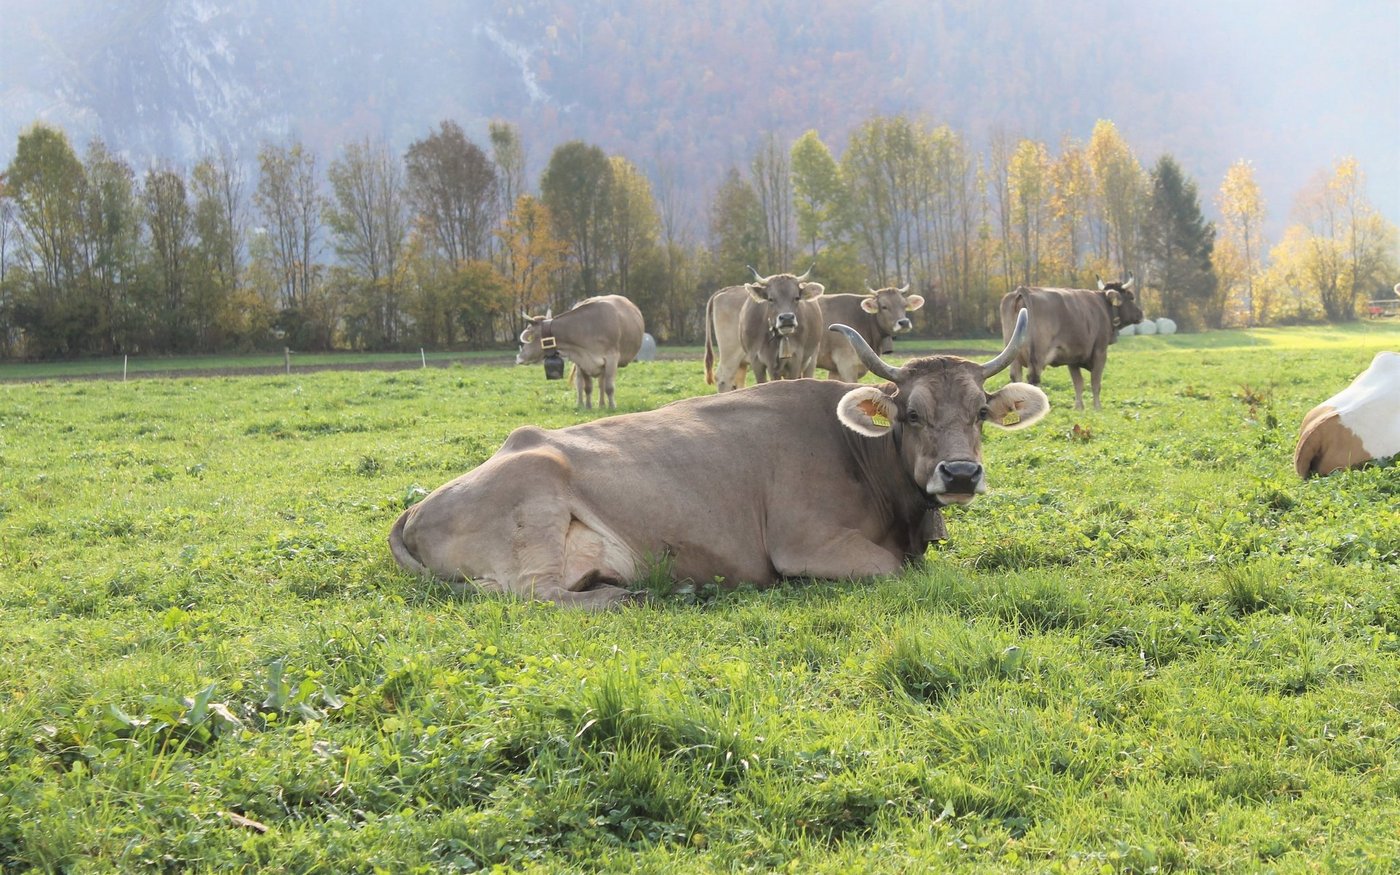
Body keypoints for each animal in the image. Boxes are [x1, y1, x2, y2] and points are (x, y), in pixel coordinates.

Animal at [388, 310, 1050, 609]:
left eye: (980, 412)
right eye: (911, 414)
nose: (960, 473)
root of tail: (418, 508)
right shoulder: (803, 544)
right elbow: (891, 570)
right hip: (537, 504)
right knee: (536, 595)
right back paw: (632, 596)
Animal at [516, 294, 645, 410]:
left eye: (530, 337)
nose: (519, 358)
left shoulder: (611, 358)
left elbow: (609, 387)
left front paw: (612, 407)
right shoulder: (582, 360)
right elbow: (587, 387)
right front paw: (588, 407)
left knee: (601, 383)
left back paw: (602, 405)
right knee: (580, 383)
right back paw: (581, 404)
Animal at [998, 274, 1144, 410]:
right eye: (1131, 297)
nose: (1141, 314)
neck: (1103, 305)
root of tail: (1022, 290)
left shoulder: (1072, 358)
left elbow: (1078, 383)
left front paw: (1079, 407)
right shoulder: (1100, 352)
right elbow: (1095, 383)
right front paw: (1097, 407)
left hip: (1012, 353)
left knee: (1016, 377)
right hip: (1036, 357)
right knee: (1033, 379)